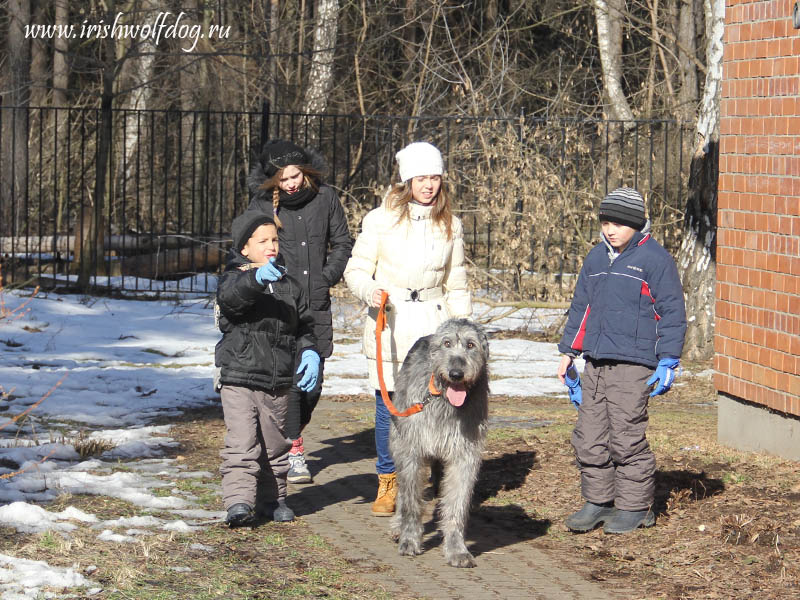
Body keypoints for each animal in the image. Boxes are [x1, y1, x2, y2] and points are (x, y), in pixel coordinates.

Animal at [388, 318, 488, 568]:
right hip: (398, 436)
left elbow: (456, 505)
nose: (456, 373)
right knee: (403, 490)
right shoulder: (412, 449)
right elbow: (411, 501)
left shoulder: (465, 455)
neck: (444, 400)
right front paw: (409, 539)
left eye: (471, 345)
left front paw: (457, 549)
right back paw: (398, 525)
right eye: (446, 343)